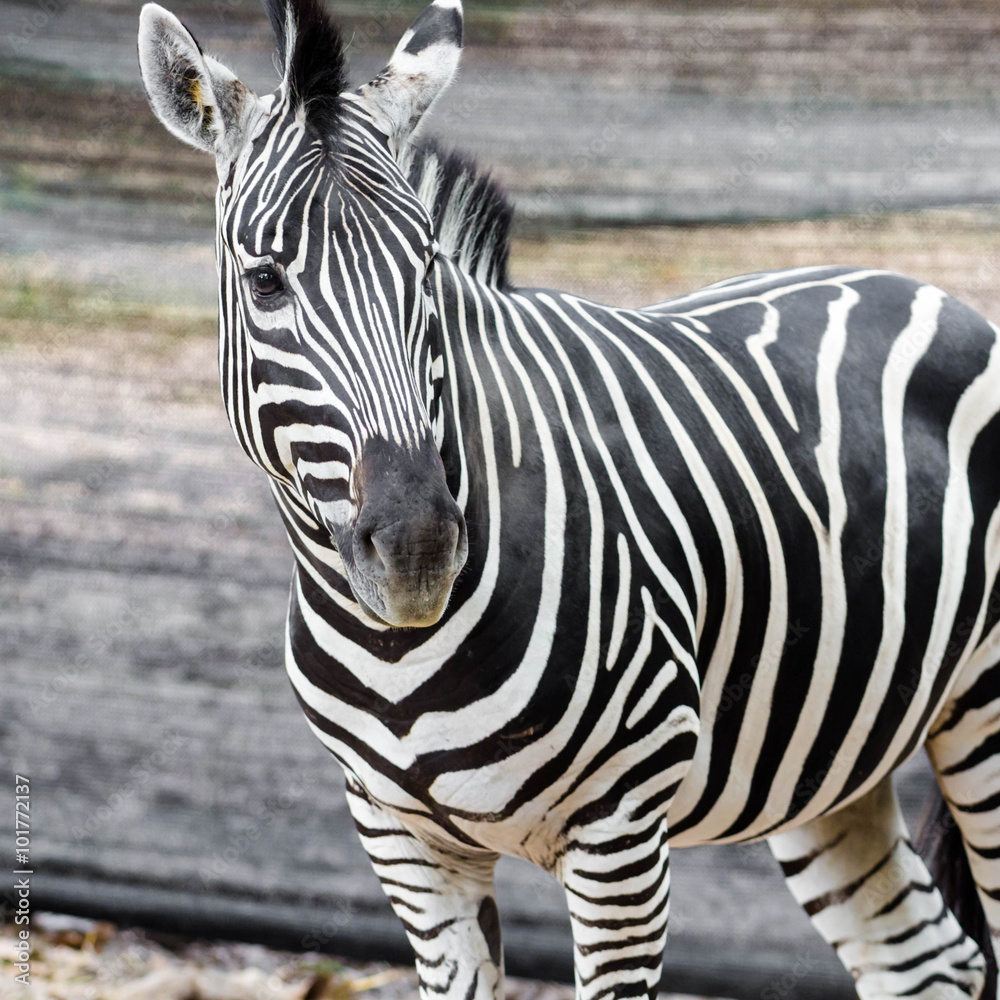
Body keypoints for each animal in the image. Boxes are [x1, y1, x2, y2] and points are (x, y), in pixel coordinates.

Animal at [137, 1, 1000, 998]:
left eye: (425, 270)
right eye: (265, 281)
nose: (419, 551)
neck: (397, 651)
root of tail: (926, 287)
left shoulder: (620, 831)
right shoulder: (402, 842)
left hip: (983, 714)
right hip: (829, 755)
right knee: (926, 958)